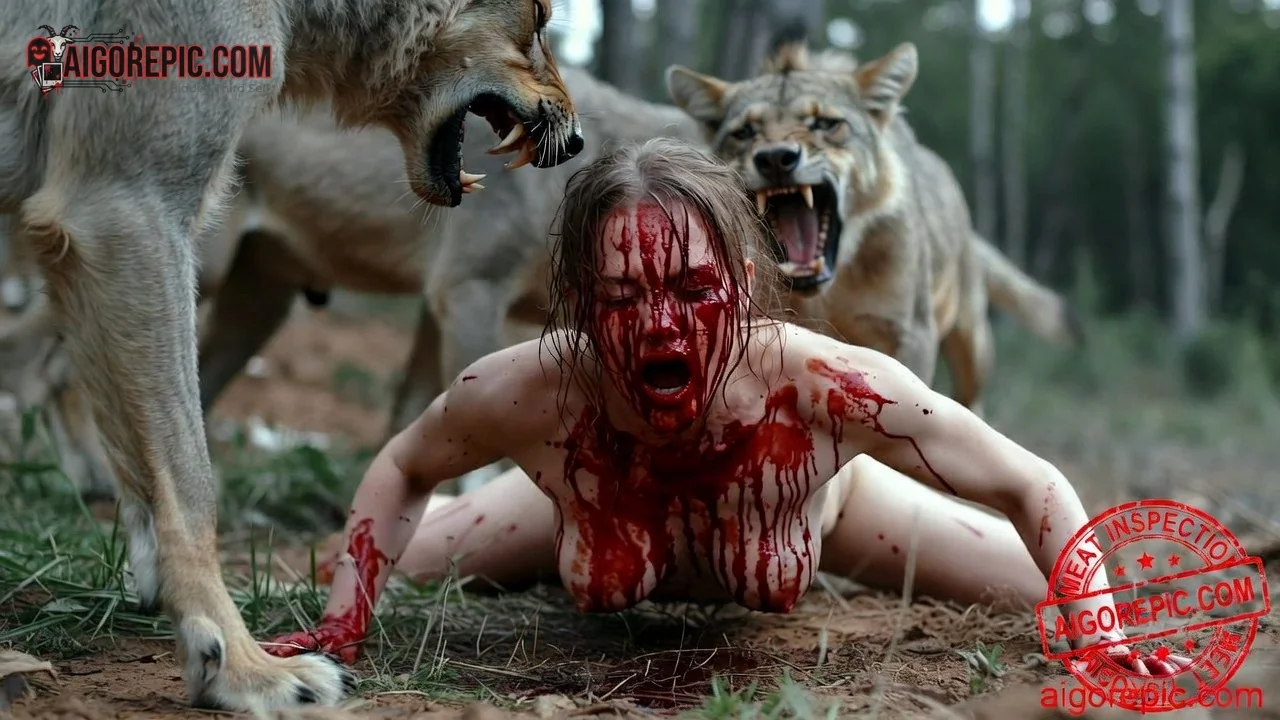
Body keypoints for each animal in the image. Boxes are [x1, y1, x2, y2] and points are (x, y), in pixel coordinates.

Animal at [0, 0, 583, 709]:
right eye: (542, 17)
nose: (579, 142)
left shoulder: (101, 230)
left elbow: (147, 487)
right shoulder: (126, 211)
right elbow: (192, 488)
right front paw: (241, 667)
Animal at [666, 33, 1083, 416]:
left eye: (825, 124)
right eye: (745, 132)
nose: (775, 158)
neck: (828, 292)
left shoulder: (910, 334)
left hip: (972, 342)